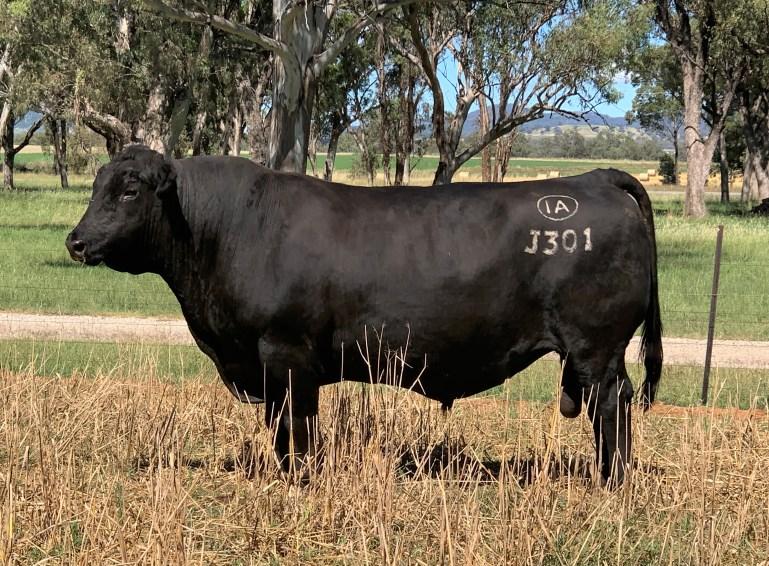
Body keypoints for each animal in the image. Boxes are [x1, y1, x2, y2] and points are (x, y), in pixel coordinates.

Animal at [66, 145, 662, 485]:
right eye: (95, 186)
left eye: (129, 190)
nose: (76, 241)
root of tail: (593, 178)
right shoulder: (268, 365)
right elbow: (279, 427)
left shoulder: (285, 353)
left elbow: (297, 426)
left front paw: (301, 481)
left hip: (595, 348)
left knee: (611, 406)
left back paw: (610, 482)